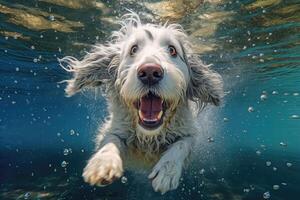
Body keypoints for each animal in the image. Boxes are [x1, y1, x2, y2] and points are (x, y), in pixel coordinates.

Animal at [59, 12, 223, 194]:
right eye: (134, 49)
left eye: (172, 50)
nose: (150, 72)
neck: (149, 138)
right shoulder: (113, 128)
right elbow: (111, 140)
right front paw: (103, 163)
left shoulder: (190, 133)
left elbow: (181, 145)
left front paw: (167, 171)